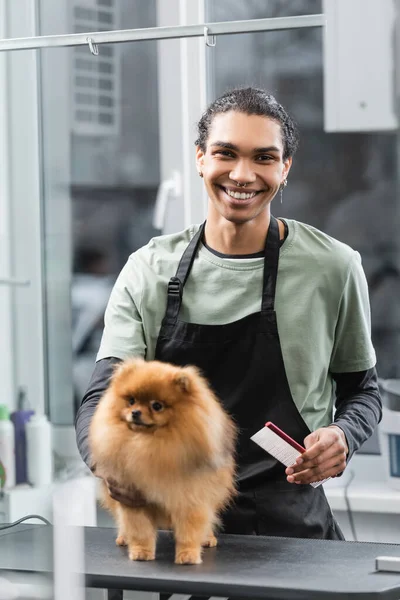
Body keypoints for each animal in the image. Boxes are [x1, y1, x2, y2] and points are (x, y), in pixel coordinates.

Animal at [89, 358, 236, 564]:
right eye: (131, 400)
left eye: (157, 406)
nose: (135, 412)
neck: (150, 444)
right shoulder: (133, 499)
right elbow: (139, 529)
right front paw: (141, 552)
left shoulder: (191, 499)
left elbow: (189, 531)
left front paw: (188, 555)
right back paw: (124, 538)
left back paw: (207, 539)